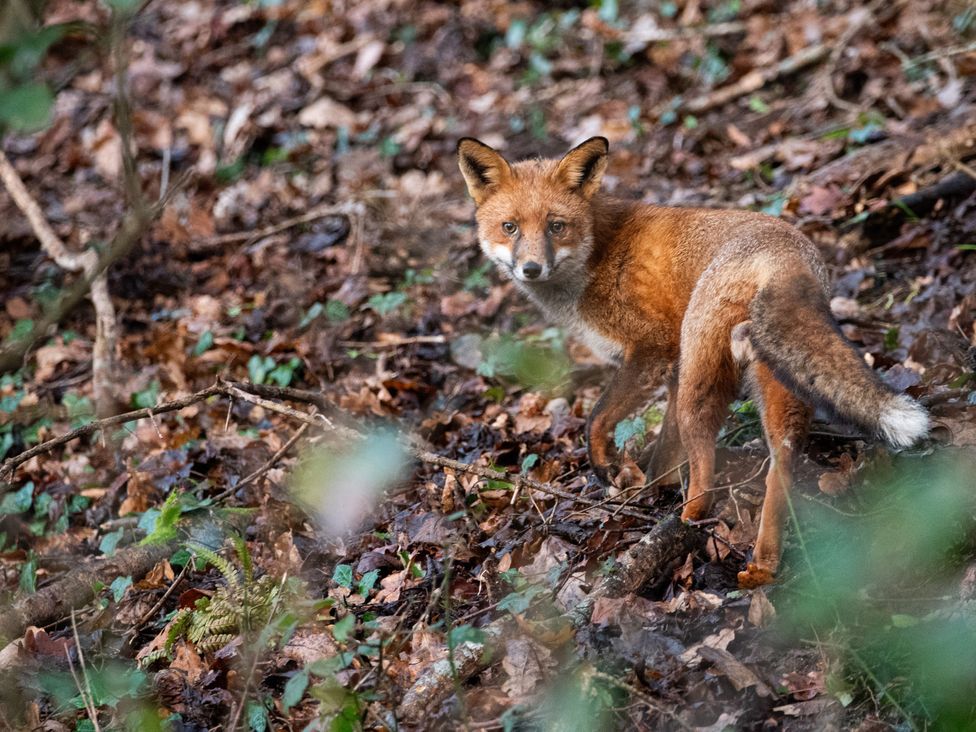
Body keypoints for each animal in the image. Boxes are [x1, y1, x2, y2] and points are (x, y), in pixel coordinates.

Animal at [457, 135, 929, 587]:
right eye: (510, 227)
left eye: (557, 226)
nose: (531, 269)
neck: (596, 255)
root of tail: (786, 256)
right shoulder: (671, 370)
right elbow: (665, 451)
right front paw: (648, 491)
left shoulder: (654, 349)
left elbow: (597, 419)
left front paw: (612, 471)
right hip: (770, 382)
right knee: (781, 465)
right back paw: (762, 564)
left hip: (700, 379)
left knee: (706, 474)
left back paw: (688, 521)